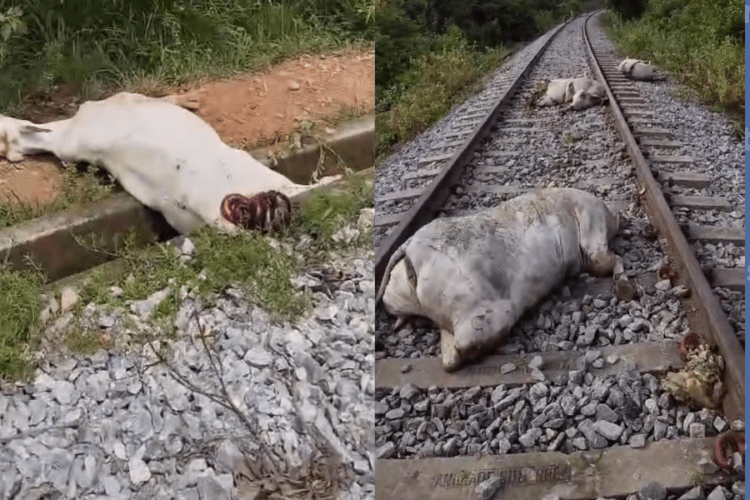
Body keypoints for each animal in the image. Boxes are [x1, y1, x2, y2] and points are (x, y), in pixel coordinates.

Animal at [376, 188, 624, 372]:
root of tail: (409, 248)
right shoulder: (591, 229)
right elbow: (604, 260)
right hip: (481, 307)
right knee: (469, 341)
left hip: (404, 296)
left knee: (448, 354)